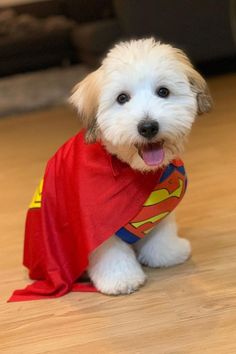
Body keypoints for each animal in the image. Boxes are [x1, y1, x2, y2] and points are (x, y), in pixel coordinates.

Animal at [70, 37, 212, 294]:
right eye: (122, 98)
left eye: (163, 91)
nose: (148, 127)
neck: (131, 169)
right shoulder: (98, 224)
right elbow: (111, 254)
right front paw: (120, 279)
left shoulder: (161, 205)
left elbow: (161, 232)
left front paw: (167, 254)